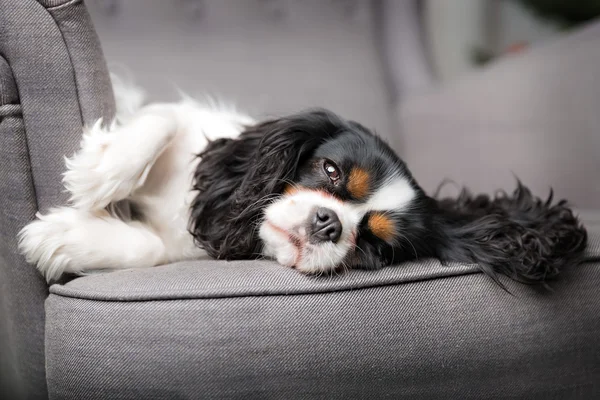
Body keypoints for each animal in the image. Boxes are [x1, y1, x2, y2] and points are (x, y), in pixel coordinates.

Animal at [16, 83, 588, 286]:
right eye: (331, 171)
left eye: (374, 246)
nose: (329, 223)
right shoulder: (189, 124)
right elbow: (161, 119)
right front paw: (97, 171)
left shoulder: (176, 247)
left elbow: (148, 248)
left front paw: (60, 237)